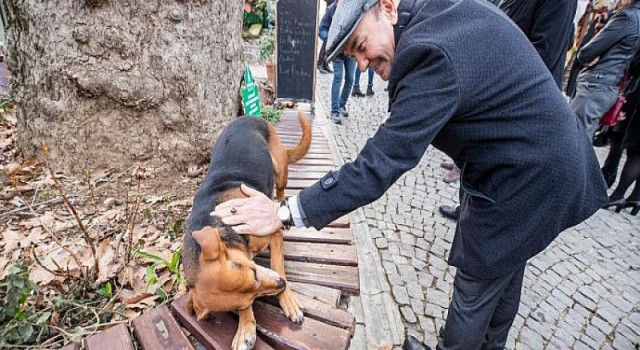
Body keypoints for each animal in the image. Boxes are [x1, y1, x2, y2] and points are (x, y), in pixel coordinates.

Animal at [181, 113, 312, 348]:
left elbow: (278, 266)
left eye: (254, 272)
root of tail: (248, 116)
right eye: (249, 299)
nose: (281, 286)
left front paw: (287, 300)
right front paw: (245, 325)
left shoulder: (273, 235)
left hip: (280, 170)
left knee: (280, 190)